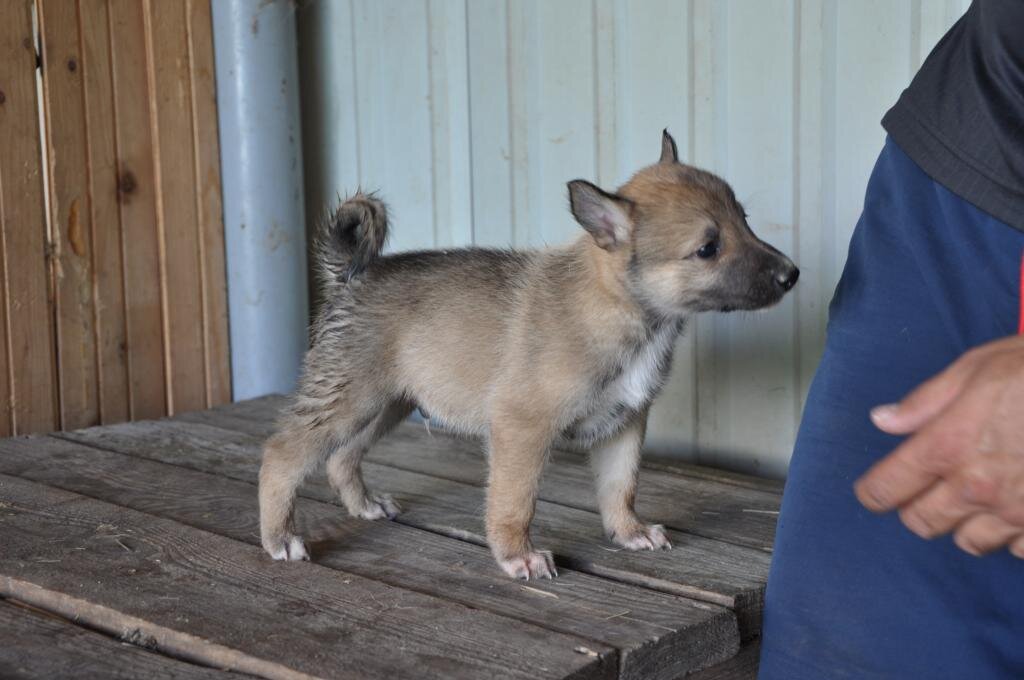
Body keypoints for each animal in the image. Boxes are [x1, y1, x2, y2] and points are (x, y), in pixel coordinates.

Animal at [258, 131, 798, 577]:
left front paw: (629, 532)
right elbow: (514, 502)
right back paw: (280, 537)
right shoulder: (522, 428)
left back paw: (365, 504)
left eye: (745, 222)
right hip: (348, 400)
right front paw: (518, 555)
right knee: (281, 456)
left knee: (341, 457)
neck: (624, 310)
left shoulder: (626, 424)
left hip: (386, 403)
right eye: (708, 248)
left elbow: (620, 488)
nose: (792, 275)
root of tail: (352, 274)